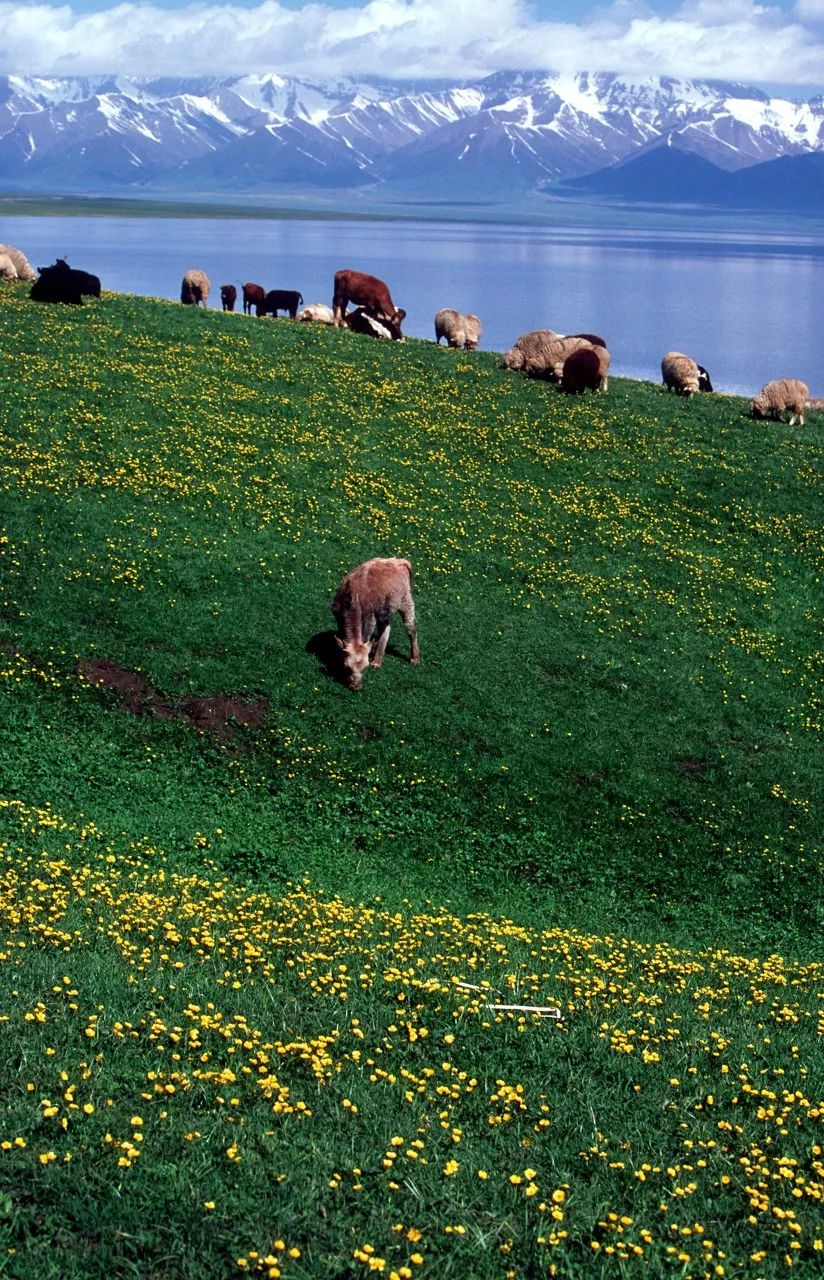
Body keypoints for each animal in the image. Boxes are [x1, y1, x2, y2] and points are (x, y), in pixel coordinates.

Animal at [327, 552, 419, 691]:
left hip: (406, 601)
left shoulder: (370, 618)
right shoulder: (338, 616)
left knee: (411, 628)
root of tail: (398, 561)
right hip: (383, 610)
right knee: (386, 628)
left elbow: (365, 636)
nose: (356, 687)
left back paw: (415, 658)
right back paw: (377, 660)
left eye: (365, 667)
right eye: (347, 667)